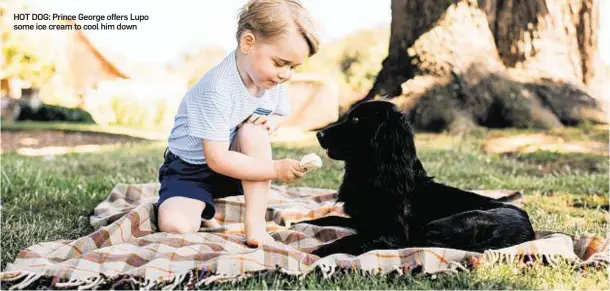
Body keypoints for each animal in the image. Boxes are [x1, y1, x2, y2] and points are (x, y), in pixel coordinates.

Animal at [300, 101, 532, 258]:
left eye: (356, 120)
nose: (319, 134)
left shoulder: (392, 233)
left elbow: (350, 238)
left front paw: (316, 252)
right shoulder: (362, 220)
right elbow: (328, 218)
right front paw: (300, 223)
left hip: (443, 225)